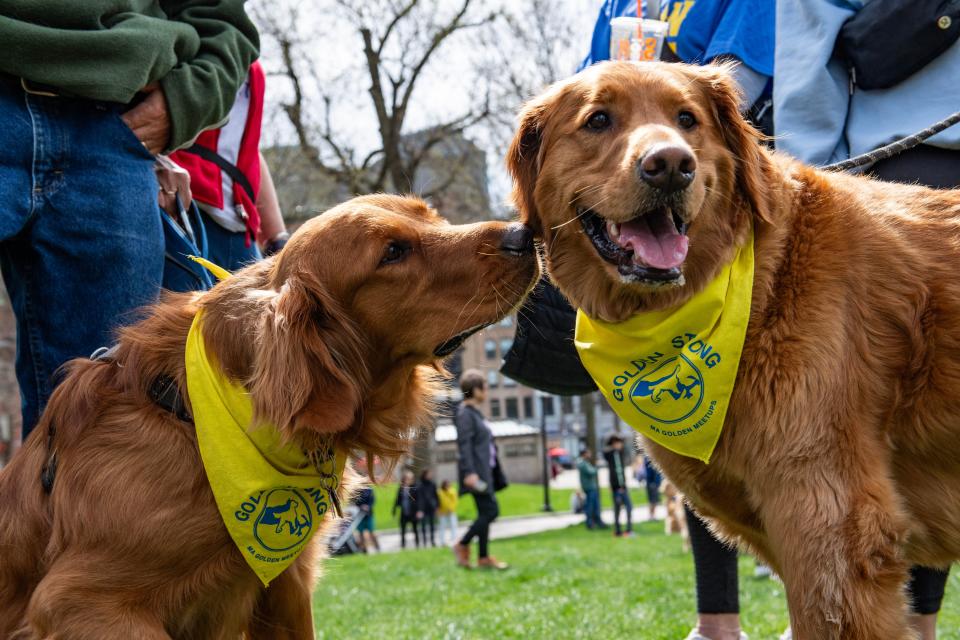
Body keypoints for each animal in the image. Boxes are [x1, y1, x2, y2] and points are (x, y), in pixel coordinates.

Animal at [0, 196, 540, 640]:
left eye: (432, 215)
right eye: (392, 252)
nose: (525, 233)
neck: (198, 418)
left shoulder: (286, 586)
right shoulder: (79, 602)